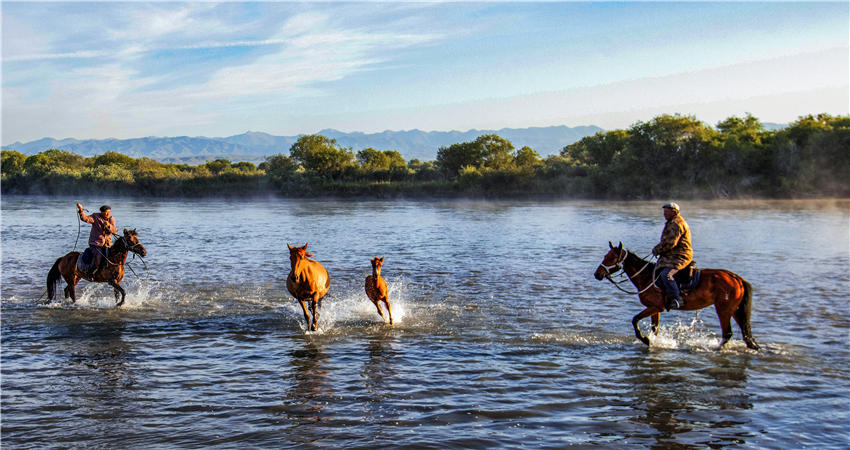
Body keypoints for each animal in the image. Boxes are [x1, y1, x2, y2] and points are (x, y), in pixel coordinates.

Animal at [594, 242, 759, 350]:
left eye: (610, 258)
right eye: (605, 256)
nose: (597, 274)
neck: (647, 276)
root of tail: (736, 278)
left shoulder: (656, 307)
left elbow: (635, 320)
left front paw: (645, 339)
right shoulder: (655, 310)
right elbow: (655, 329)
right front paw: (654, 341)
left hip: (723, 310)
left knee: (727, 333)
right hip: (735, 310)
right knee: (745, 334)